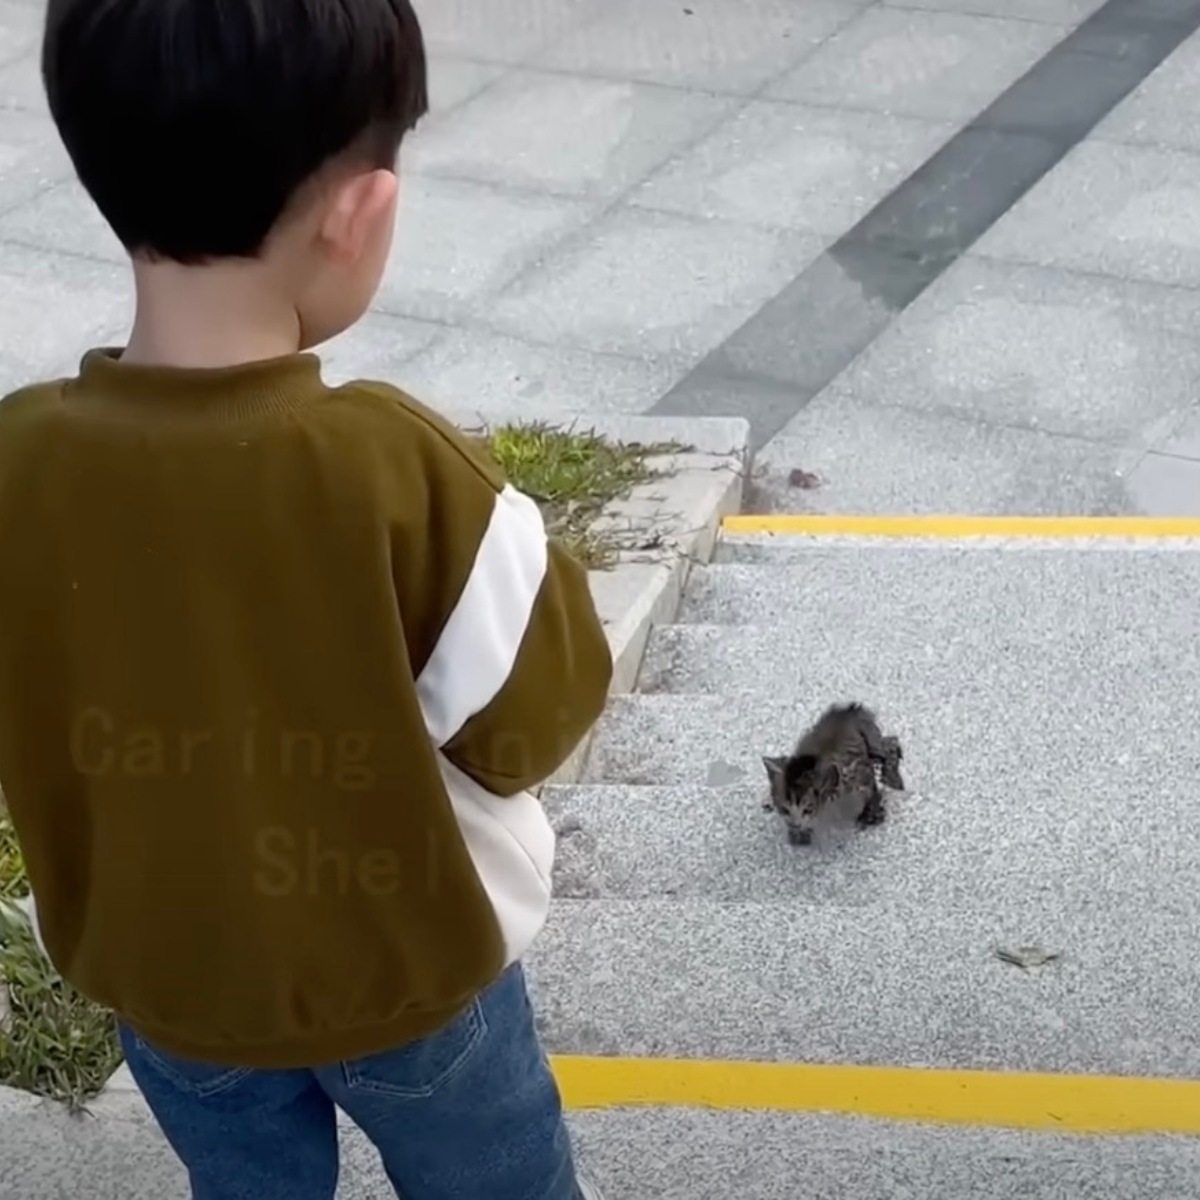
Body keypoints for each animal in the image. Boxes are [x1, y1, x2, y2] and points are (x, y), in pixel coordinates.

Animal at [763, 700, 902, 844]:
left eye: (807, 810)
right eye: (784, 810)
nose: (795, 824)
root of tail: (848, 712)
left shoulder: (858, 776)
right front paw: (798, 834)